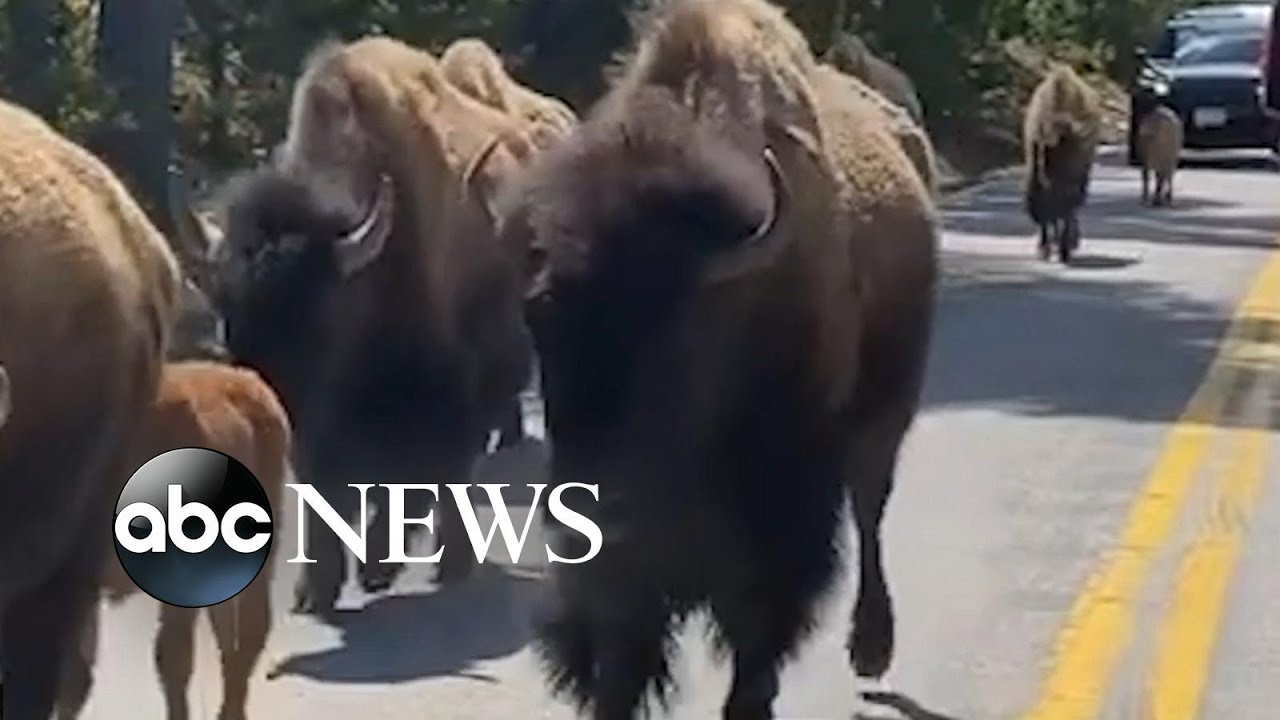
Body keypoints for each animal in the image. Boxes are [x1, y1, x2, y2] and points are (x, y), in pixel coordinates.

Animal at [498, 0, 938, 716]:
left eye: (682, 339)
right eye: (541, 326)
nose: (598, 504)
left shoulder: (778, 517)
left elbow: (759, 627)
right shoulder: (624, 573)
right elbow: (624, 648)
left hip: (885, 412)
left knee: (870, 506)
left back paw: (871, 646)